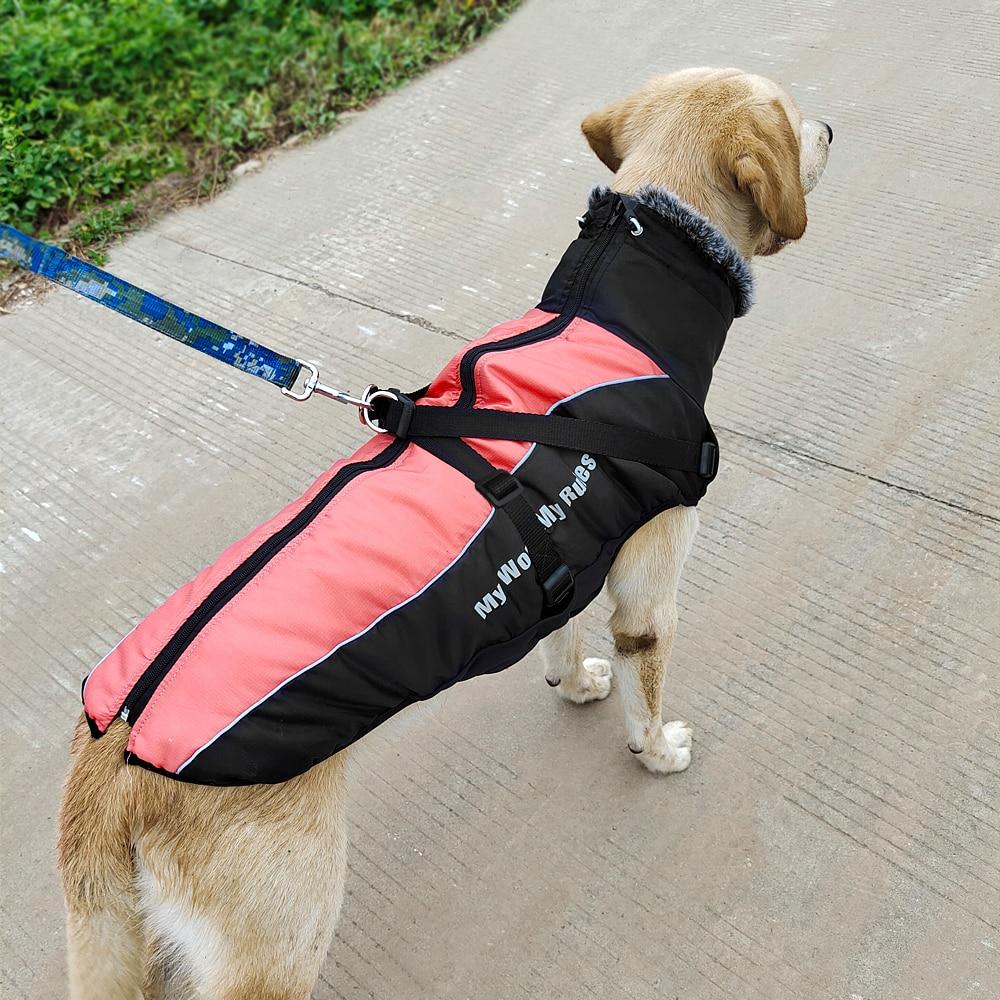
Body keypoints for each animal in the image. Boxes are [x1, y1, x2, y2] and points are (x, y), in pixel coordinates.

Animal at [58, 66, 832, 996]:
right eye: (793, 118)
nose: (835, 128)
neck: (623, 313)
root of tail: (112, 756)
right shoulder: (648, 596)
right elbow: (645, 698)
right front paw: (655, 753)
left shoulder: (570, 550)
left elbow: (561, 635)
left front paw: (573, 685)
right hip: (281, 937)